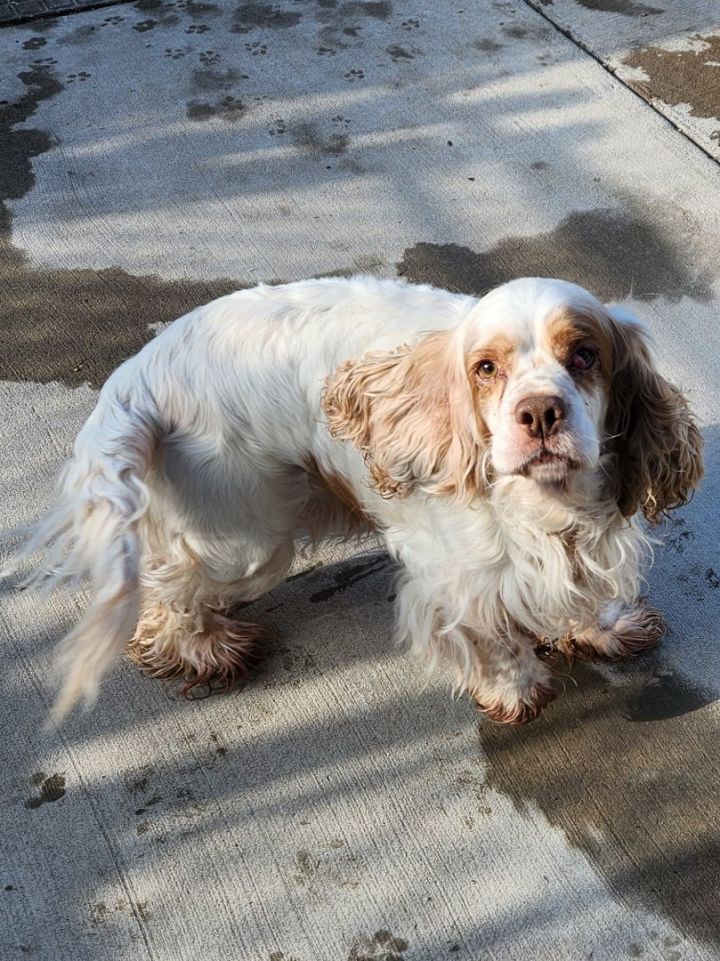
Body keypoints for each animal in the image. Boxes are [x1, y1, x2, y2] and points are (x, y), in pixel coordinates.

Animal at [7, 274, 704, 724]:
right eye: (486, 368)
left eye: (584, 355)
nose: (539, 413)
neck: (552, 509)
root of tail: (136, 377)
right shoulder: (454, 580)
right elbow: (490, 641)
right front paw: (518, 690)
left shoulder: (584, 546)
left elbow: (585, 597)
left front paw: (605, 628)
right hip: (248, 541)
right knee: (168, 591)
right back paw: (205, 649)